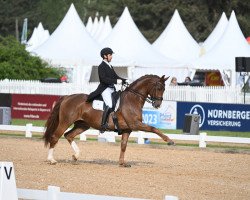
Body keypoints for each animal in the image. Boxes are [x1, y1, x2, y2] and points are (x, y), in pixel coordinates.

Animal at [43, 74, 174, 166]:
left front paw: (122, 163)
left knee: (69, 135)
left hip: (83, 125)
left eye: (164, 89)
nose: (157, 104)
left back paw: (76, 156)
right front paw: (169, 140)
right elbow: (153, 128)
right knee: (55, 137)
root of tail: (67, 97)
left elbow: (123, 145)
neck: (132, 99)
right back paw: (51, 160)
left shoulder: (127, 129)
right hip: (65, 122)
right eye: (159, 87)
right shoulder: (135, 124)